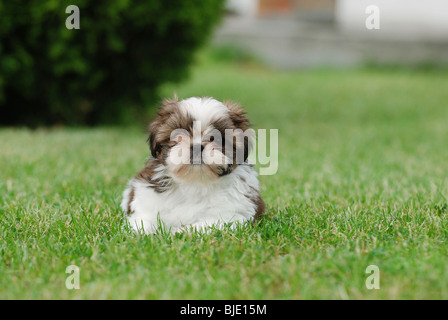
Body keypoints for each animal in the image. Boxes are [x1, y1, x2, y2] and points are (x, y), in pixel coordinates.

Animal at [121, 95, 264, 232]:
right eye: (178, 135)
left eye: (217, 139)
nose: (196, 146)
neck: (194, 182)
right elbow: (143, 220)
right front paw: (143, 231)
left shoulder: (230, 215)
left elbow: (205, 226)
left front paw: (177, 232)